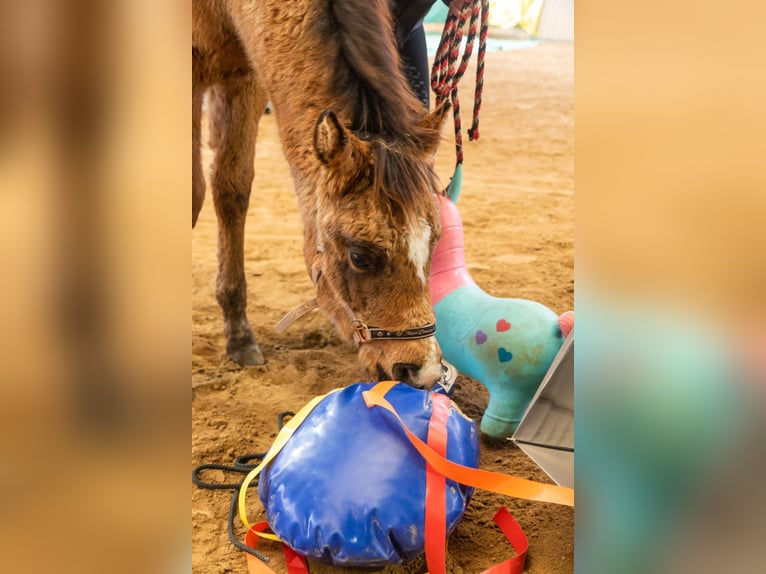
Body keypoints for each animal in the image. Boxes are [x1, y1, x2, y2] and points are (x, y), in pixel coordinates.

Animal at [192, 1, 452, 388]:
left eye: (436, 240)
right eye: (359, 256)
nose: (423, 372)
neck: (224, 9)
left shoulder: (245, 78)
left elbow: (232, 188)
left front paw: (239, 336)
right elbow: (193, 193)